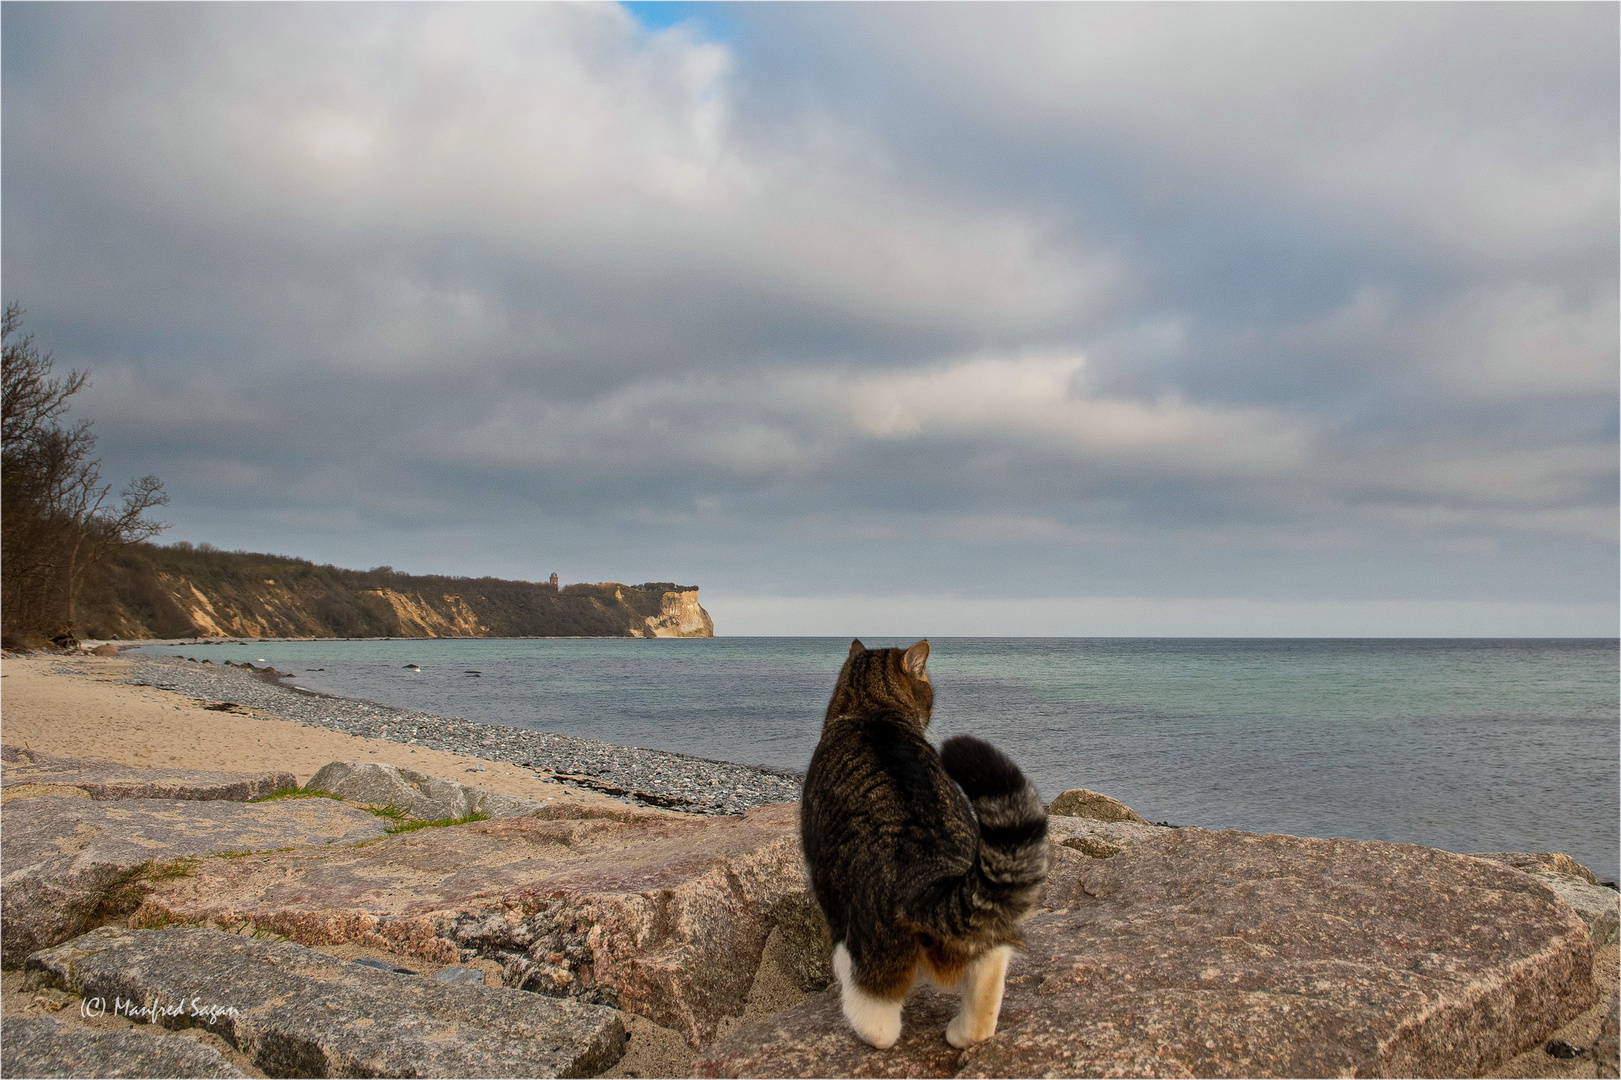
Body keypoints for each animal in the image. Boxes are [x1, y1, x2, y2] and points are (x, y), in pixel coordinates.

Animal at [800, 638, 1050, 1044]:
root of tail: (930, 875)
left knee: (879, 1018)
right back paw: (963, 1033)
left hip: (870, 939)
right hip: (981, 919)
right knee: (987, 979)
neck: (871, 712)